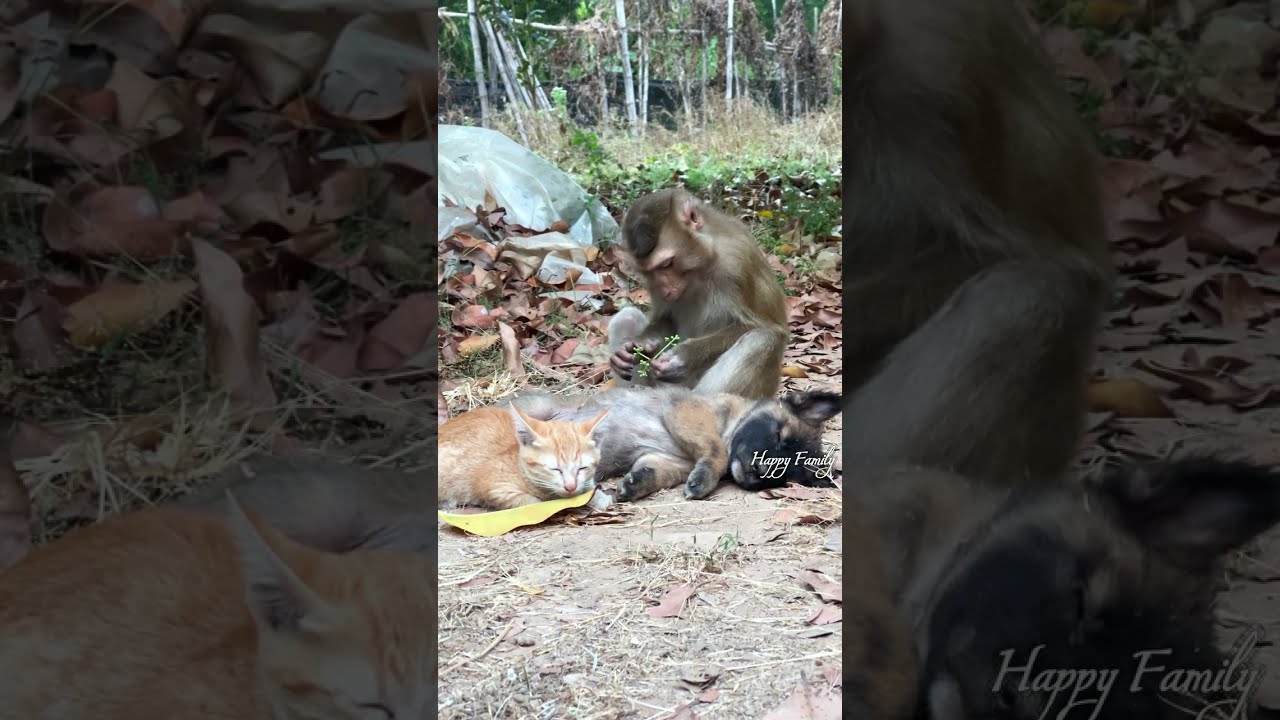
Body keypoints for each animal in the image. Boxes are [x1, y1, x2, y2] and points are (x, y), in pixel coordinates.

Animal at [607, 188, 790, 402]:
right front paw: (642, 343)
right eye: (647, 272)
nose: (665, 289)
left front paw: (684, 357)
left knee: (762, 339)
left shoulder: (738, 261)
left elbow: (766, 327)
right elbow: (666, 318)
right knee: (626, 318)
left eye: (667, 263)